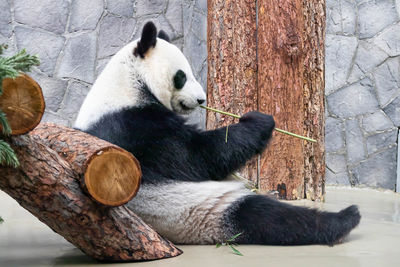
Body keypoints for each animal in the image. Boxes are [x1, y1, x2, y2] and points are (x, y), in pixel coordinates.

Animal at [74, 22, 360, 246]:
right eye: (181, 76)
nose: (201, 99)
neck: (128, 83)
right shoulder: (133, 125)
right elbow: (196, 158)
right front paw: (260, 121)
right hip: (197, 211)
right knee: (264, 216)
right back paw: (344, 219)